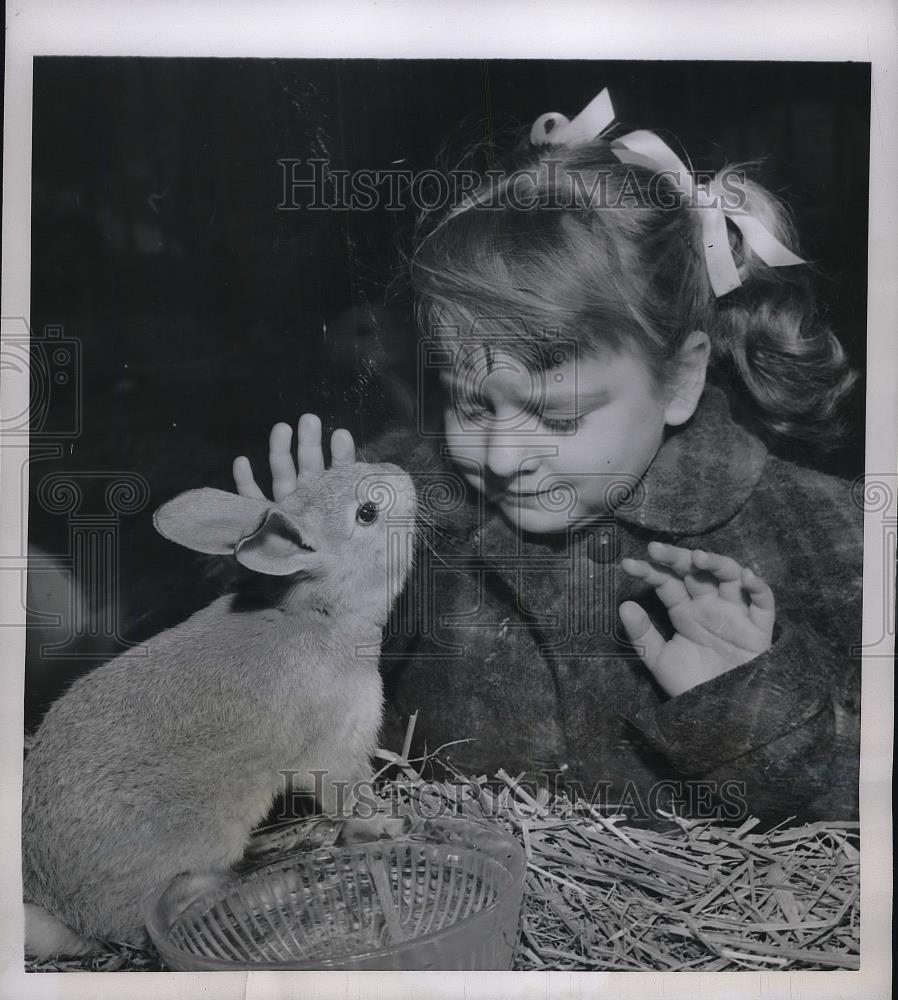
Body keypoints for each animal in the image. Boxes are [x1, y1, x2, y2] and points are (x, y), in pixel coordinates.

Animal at [20, 460, 412, 960]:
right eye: (367, 513)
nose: (403, 477)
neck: (320, 609)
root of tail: (70, 918)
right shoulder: (336, 753)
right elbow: (353, 800)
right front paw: (389, 825)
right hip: (197, 851)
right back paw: (276, 883)